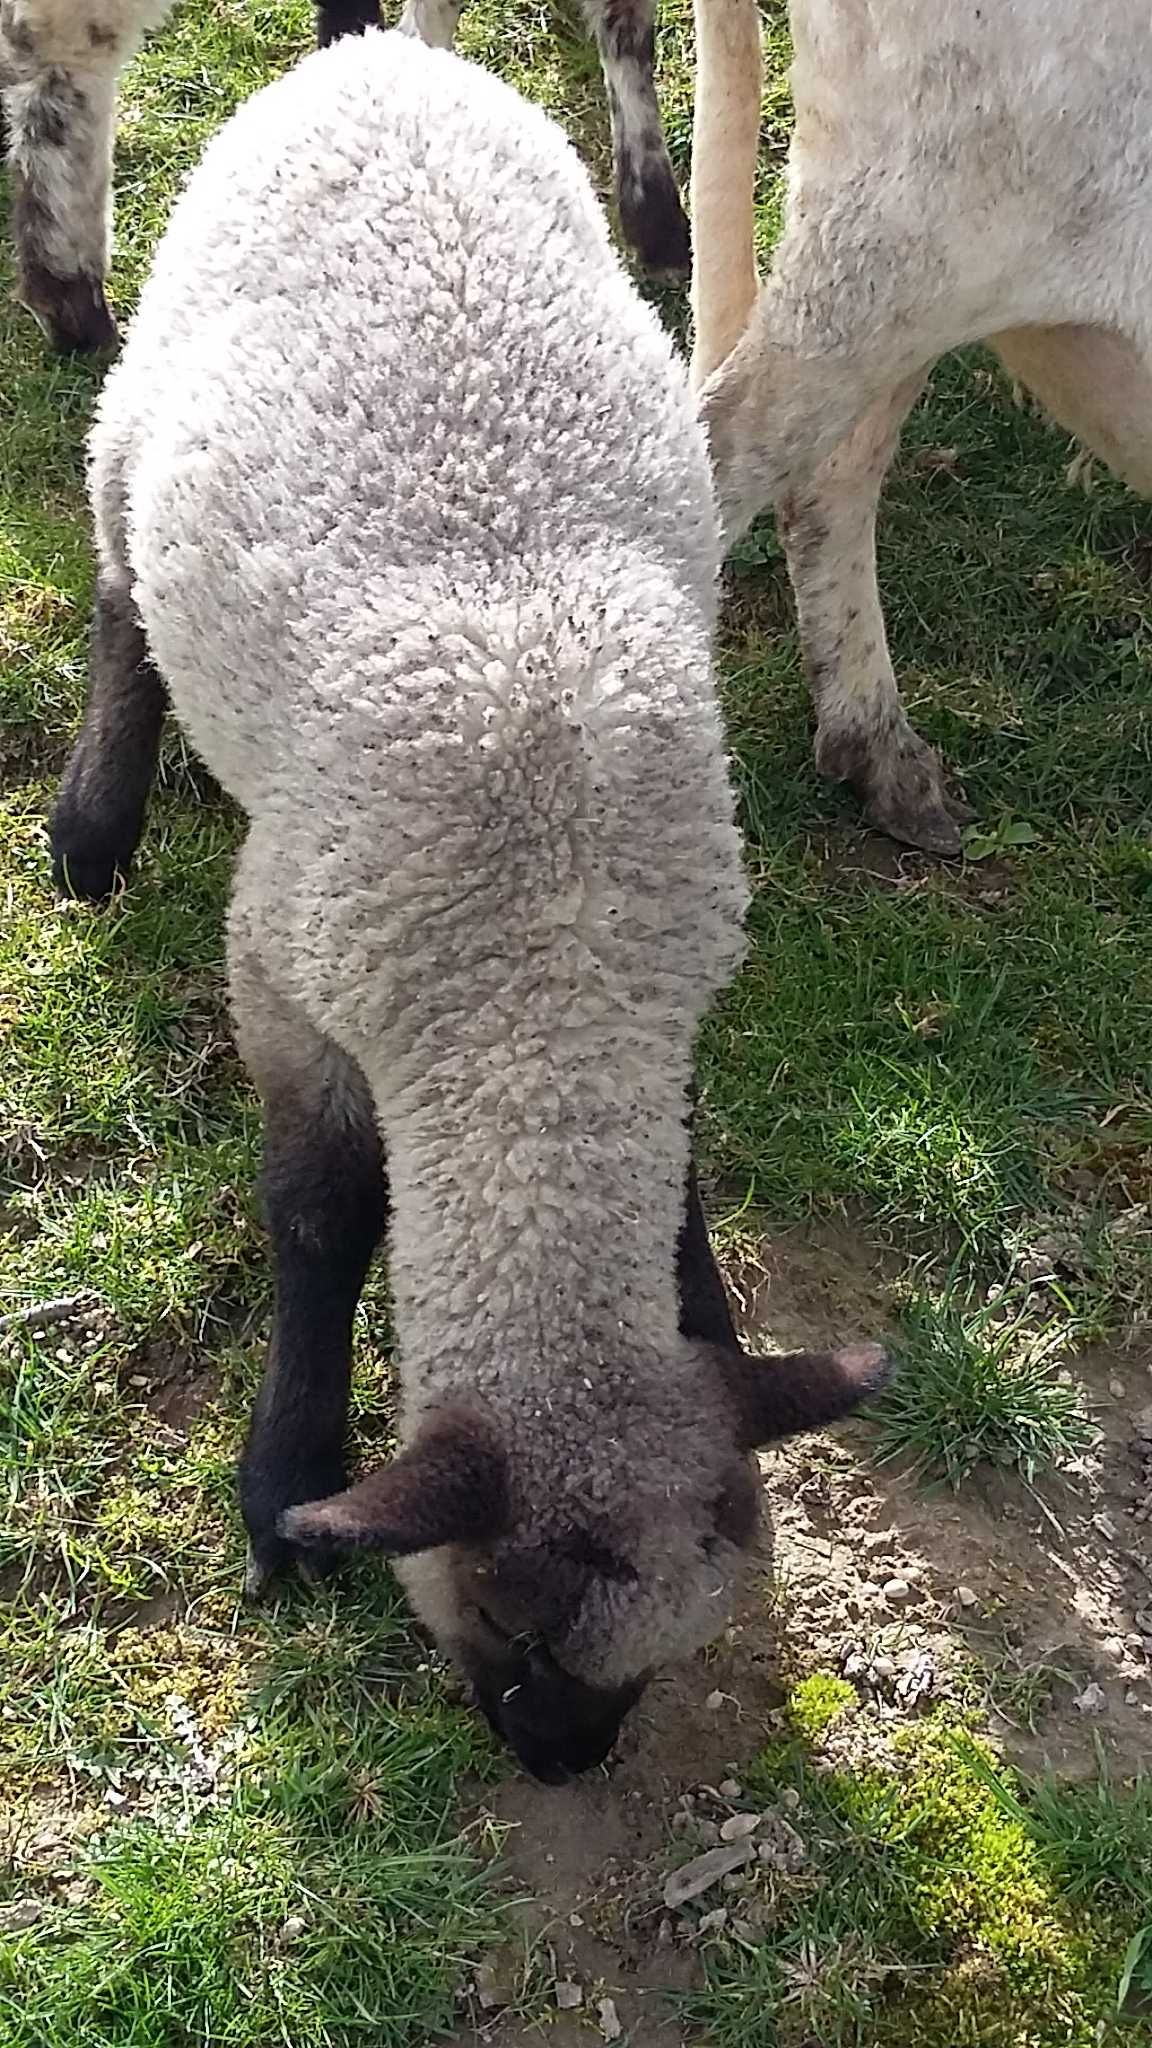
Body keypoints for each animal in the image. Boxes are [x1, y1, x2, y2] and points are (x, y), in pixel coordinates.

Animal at [49, 24, 881, 1777]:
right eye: (510, 1626)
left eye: (667, 1651)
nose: (562, 1762)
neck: (543, 978)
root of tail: (372, 49)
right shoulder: (292, 975)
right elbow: (321, 1216)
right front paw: (286, 1482)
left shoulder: (675, 988)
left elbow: (684, 1183)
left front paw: (705, 1301)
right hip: (135, 410)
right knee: (119, 599)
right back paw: (94, 822)